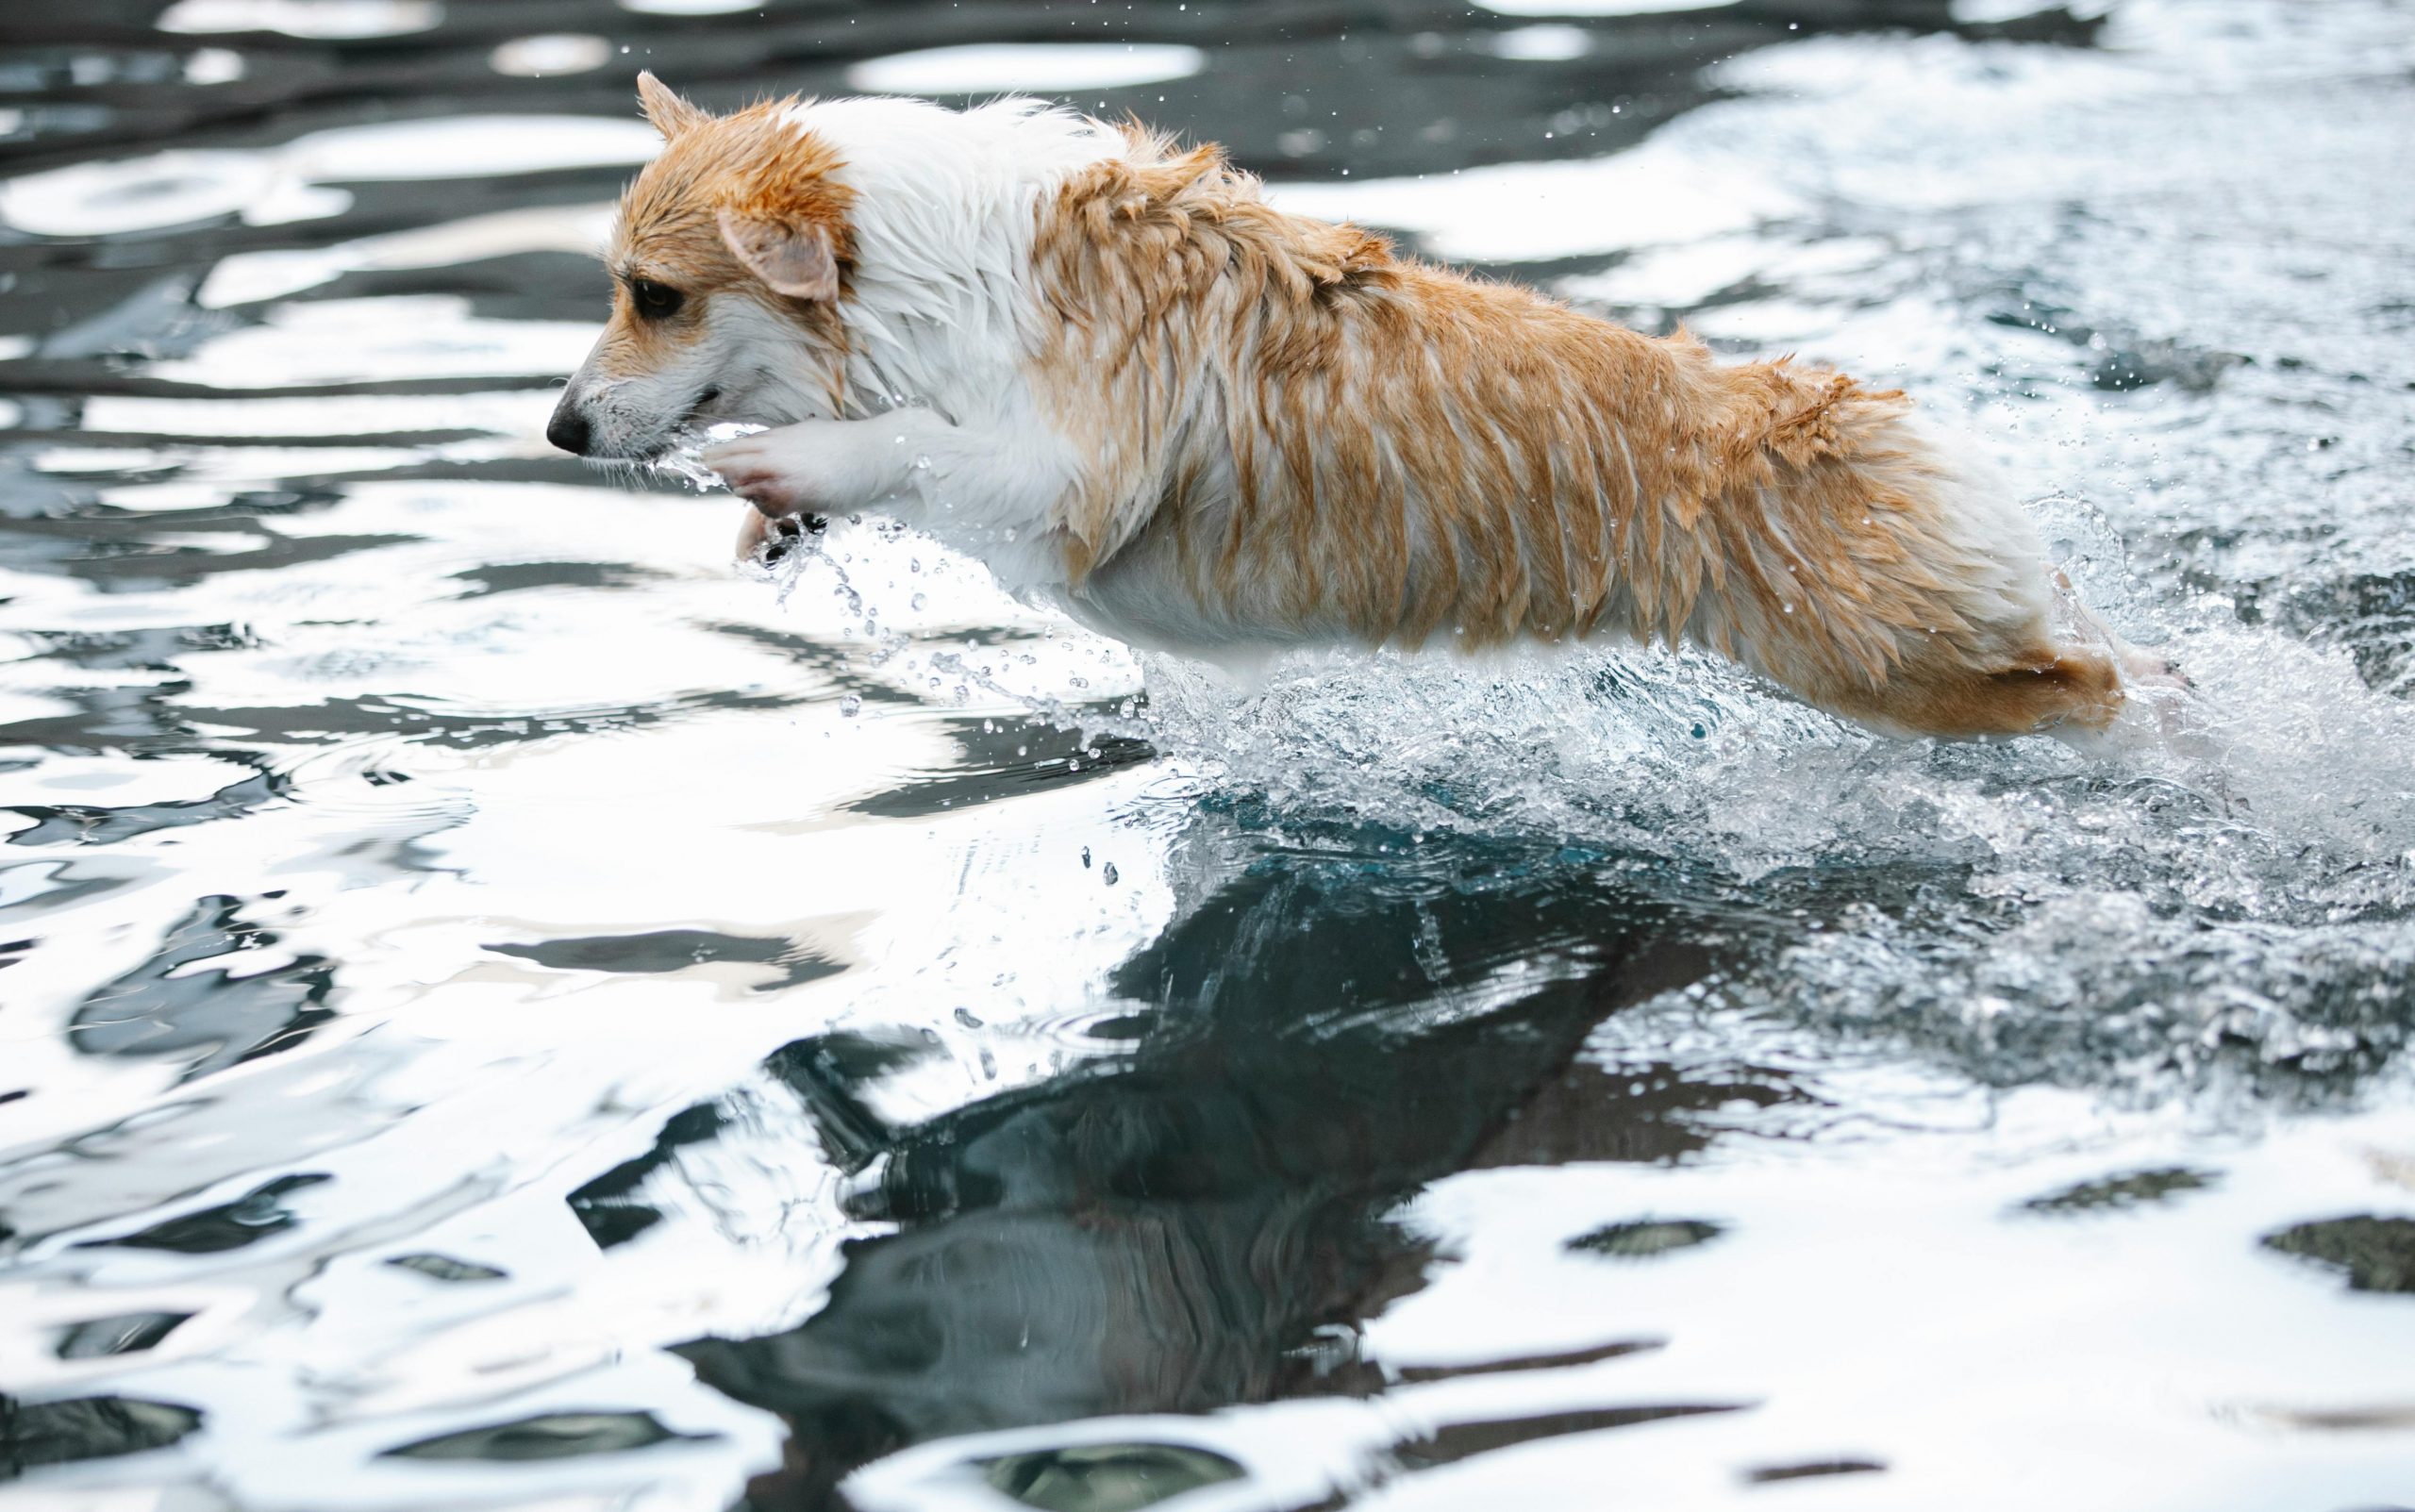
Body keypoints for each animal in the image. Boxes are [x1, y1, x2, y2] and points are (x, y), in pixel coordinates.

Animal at [555, 75, 2183, 734]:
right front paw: (774, 517)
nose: (560, 430)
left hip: (1894, 666)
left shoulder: (1070, 477)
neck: (918, 264)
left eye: (657, 295)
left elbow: (911, 444)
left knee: (2105, 689)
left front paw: (787, 459)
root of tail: (1866, 408)